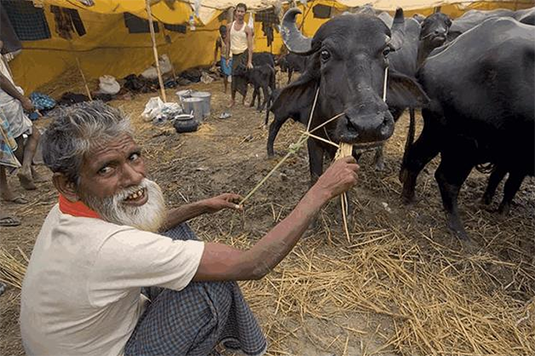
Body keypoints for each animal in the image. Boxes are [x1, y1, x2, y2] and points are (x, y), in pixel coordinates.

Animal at [266, 8, 428, 186]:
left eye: (385, 52)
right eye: (325, 54)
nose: (368, 125)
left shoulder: (355, 149)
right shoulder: (313, 139)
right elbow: (315, 176)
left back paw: (379, 162)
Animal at [400, 16, 532, 239]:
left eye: (447, 22)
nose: (439, 33)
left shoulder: (512, 157)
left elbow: (501, 178)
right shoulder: (518, 158)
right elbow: (510, 183)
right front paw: (501, 209)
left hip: (440, 132)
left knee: (416, 157)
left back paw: (409, 197)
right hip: (465, 142)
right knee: (446, 179)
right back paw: (460, 231)